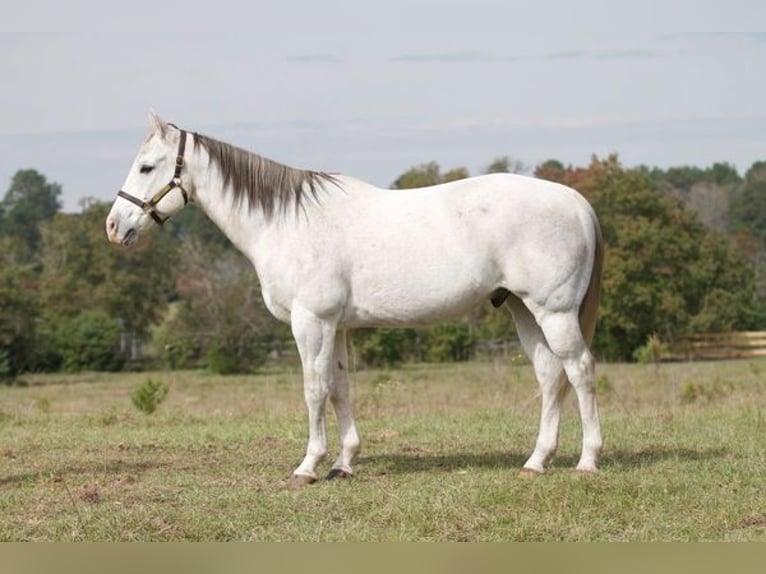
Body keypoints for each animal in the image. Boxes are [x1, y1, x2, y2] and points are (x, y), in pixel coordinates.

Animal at [105, 113, 608, 486]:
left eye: (147, 166)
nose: (113, 226)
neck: (287, 222)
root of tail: (576, 202)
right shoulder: (338, 326)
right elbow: (340, 389)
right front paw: (343, 464)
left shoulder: (311, 322)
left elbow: (314, 390)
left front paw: (308, 466)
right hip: (525, 311)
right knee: (550, 377)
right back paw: (536, 461)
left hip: (554, 312)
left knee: (580, 371)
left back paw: (587, 461)